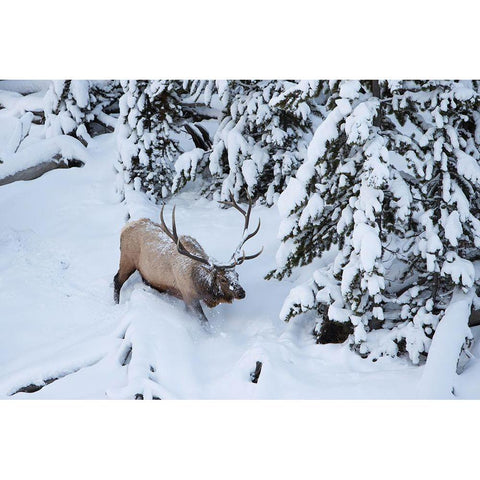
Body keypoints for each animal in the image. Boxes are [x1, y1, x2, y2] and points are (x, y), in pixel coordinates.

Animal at [113, 192, 262, 322]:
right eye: (223, 279)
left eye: (237, 275)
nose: (242, 293)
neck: (201, 287)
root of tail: (125, 227)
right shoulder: (188, 295)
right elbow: (204, 322)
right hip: (127, 259)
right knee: (117, 280)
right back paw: (116, 305)